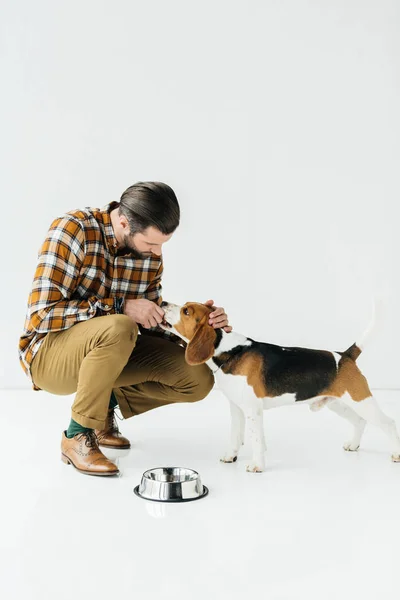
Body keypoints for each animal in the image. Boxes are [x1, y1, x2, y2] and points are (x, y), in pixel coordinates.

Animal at [159, 300, 400, 474]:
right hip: (338, 403)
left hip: (361, 401)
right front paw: (231, 456)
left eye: (186, 311)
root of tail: (345, 355)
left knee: (389, 424)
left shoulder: (253, 411)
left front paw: (257, 465)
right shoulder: (236, 408)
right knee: (359, 421)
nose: (163, 303)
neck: (229, 350)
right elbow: (235, 436)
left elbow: (256, 441)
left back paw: (396, 453)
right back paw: (353, 445)